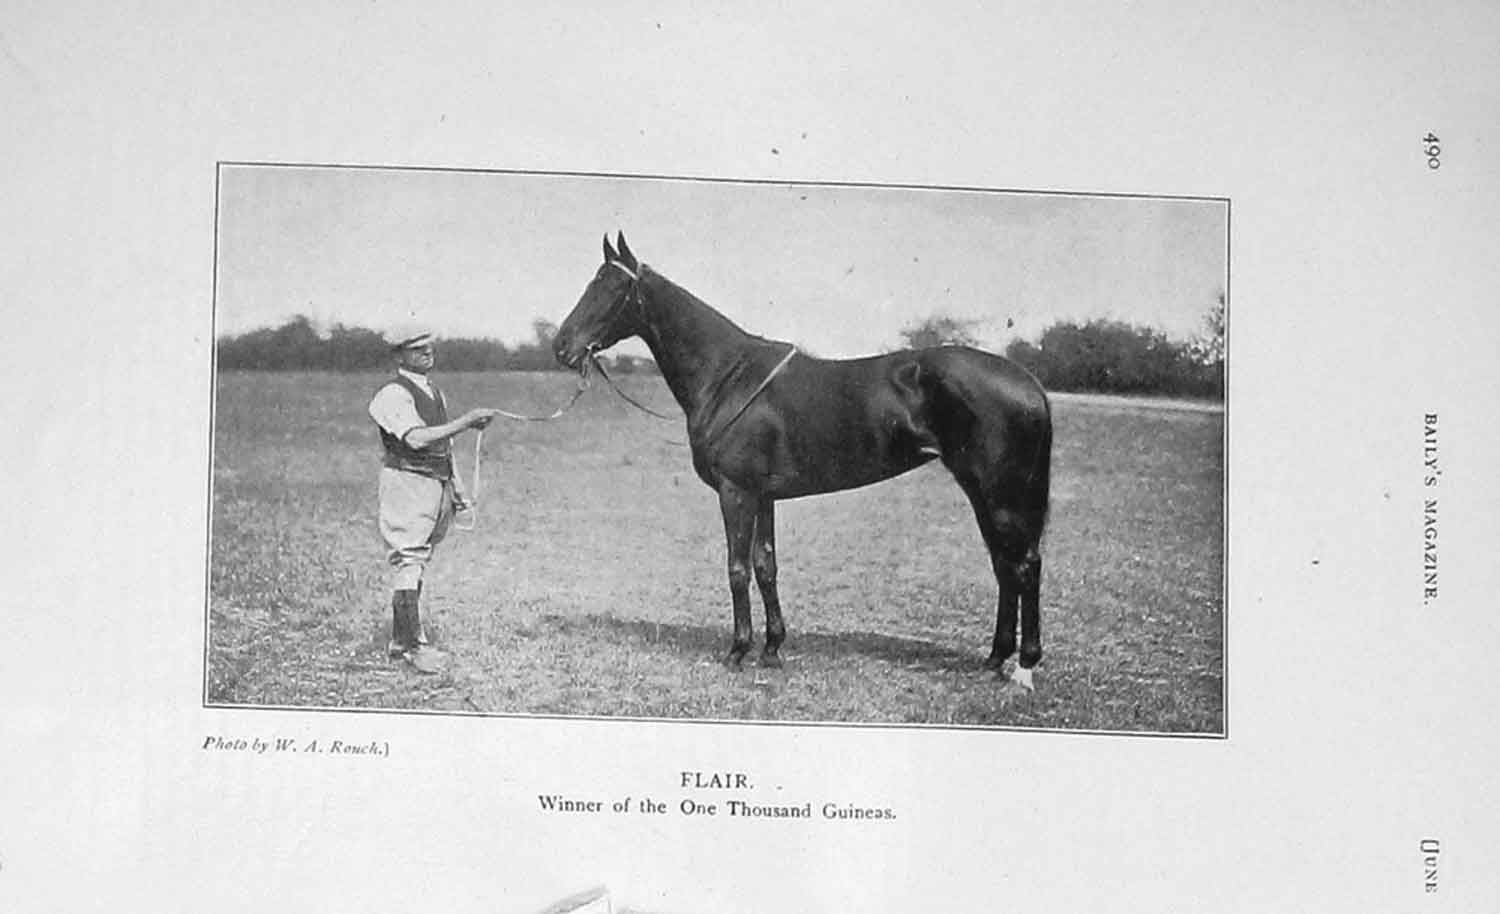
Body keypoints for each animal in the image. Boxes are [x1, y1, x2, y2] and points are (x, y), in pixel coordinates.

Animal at [553, 233, 1053, 689]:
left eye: (612, 289)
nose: (561, 347)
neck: (726, 374)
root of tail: (1029, 383)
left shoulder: (736, 492)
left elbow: (737, 569)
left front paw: (737, 651)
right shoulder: (764, 495)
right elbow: (765, 566)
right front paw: (772, 649)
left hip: (1000, 492)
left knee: (1024, 564)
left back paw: (1024, 667)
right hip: (979, 488)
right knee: (1004, 564)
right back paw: (995, 659)